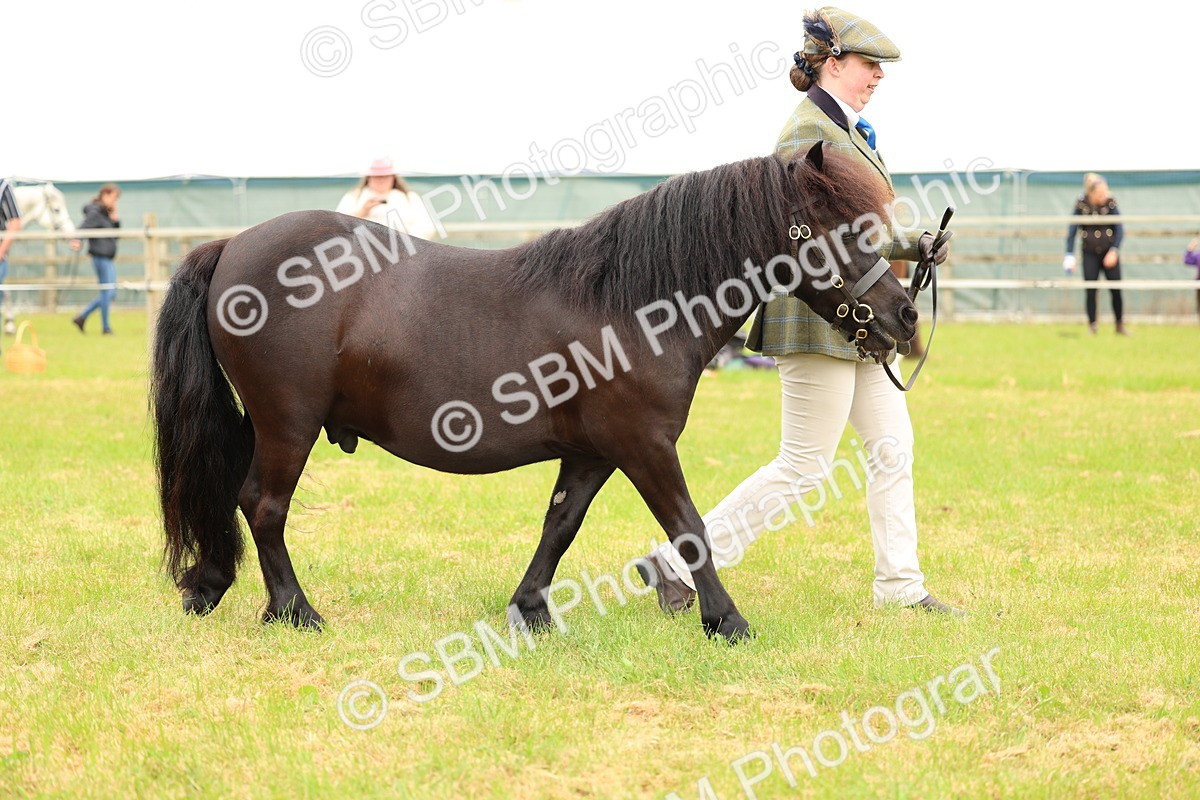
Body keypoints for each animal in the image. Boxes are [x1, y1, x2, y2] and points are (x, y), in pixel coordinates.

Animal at [150, 142, 918, 643]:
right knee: (263, 505)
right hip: (289, 422)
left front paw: (531, 611)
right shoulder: (645, 446)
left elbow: (560, 526)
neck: (629, 304)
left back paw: (212, 585)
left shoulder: (592, 453)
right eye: (840, 227)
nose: (905, 315)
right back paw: (295, 611)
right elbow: (690, 529)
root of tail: (231, 246)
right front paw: (725, 620)